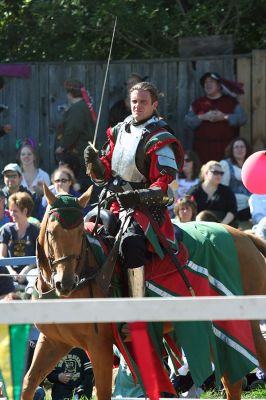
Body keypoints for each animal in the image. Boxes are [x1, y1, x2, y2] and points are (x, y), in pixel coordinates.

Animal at [21, 185, 266, 400]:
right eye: (51, 233)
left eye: (80, 233)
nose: (66, 282)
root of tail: (246, 237)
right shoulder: (53, 342)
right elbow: (28, 383)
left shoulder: (99, 347)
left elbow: (102, 392)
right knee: (232, 382)